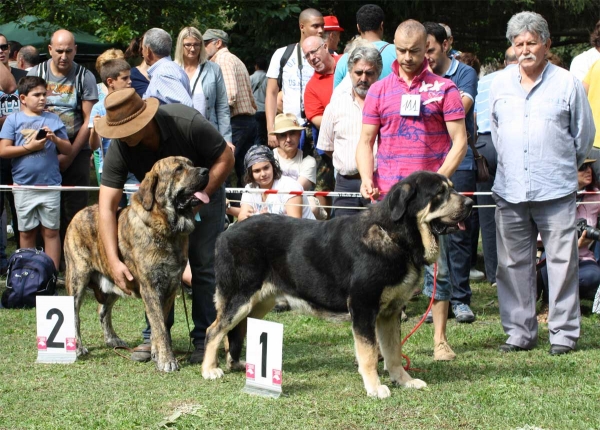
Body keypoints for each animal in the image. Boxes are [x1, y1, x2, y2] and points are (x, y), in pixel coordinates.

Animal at [65, 156, 209, 372]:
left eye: (192, 164)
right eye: (178, 169)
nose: (205, 171)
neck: (166, 229)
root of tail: (78, 213)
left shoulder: (170, 286)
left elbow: (161, 324)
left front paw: (157, 353)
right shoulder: (151, 287)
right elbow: (159, 326)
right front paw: (167, 360)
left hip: (115, 281)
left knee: (103, 310)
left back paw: (112, 339)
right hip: (78, 278)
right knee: (74, 314)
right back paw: (78, 347)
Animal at [202, 170, 474, 396]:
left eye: (451, 188)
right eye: (439, 193)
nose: (470, 203)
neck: (395, 235)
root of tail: (225, 233)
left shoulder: (390, 312)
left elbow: (393, 352)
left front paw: (404, 381)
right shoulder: (363, 307)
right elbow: (369, 353)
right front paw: (375, 387)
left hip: (258, 302)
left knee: (236, 330)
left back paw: (236, 363)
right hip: (240, 297)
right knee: (214, 330)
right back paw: (209, 369)